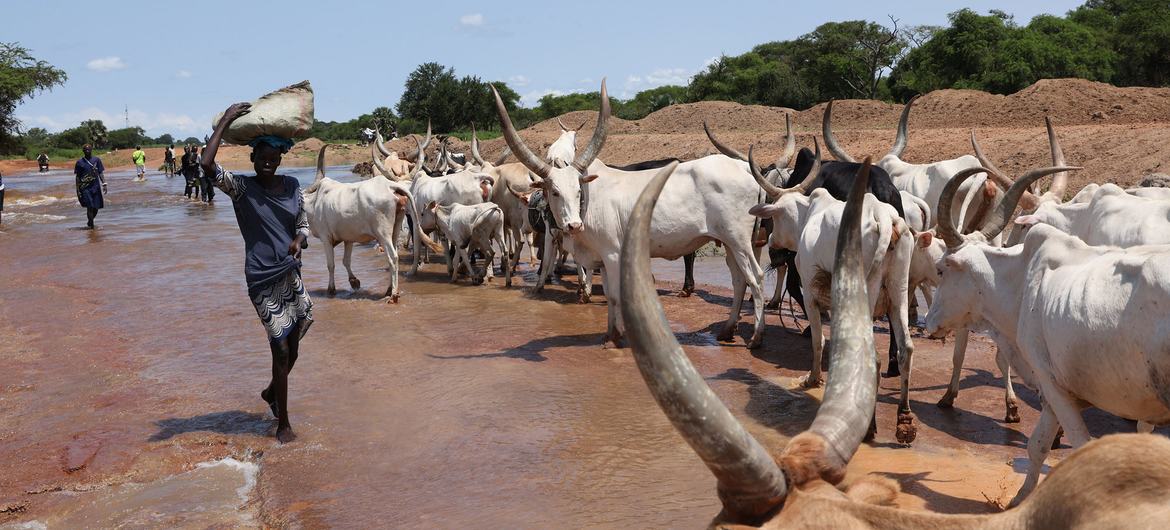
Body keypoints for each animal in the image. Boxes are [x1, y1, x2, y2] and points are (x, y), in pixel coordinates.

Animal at [304, 143, 439, 301]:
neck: (314, 204)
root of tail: (391, 186)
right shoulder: (348, 239)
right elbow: (346, 261)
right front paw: (354, 282)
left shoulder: (326, 238)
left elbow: (331, 265)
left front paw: (331, 290)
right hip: (395, 228)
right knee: (393, 255)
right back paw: (388, 289)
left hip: (383, 233)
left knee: (393, 257)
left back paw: (393, 294)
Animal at [491, 79, 767, 346]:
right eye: (554, 192)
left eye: (578, 190)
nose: (573, 226)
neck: (589, 204)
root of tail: (744, 167)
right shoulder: (600, 259)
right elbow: (607, 294)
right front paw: (610, 333)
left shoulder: (613, 254)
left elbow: (614, 295)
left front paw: (616, 337)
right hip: (728, 243)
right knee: (739, 280)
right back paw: (727, 330)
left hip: (739, 240)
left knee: (756, 277)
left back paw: (755, 337)